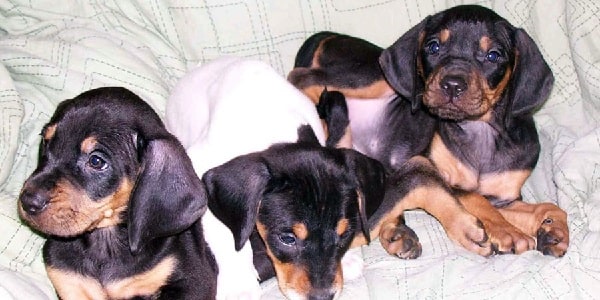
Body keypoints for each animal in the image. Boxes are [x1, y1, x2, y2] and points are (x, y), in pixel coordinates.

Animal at [16, 86, 218, 300]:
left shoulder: (197, 280)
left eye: (96, 161)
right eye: (45, 142)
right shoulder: (70, 281)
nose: (28, 202)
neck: (106, 238)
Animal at [165, 56, 370, 300]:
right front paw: (239, 286)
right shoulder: (199, 169)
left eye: (344, 235)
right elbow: (227, 233)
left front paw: (346, 258)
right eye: (287, 239)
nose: (322, 297)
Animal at [288, 4, 568, 258]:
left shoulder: (505, 197)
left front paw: (553, 231)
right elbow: (476, 199)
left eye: (493, 55)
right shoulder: (441, 174)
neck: (481, 131)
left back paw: (396, 232)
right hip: (378, 76)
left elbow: (549, 206)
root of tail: (324, 35)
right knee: (302, 77)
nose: (452, 84)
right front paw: (505, 230)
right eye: (434, 47)